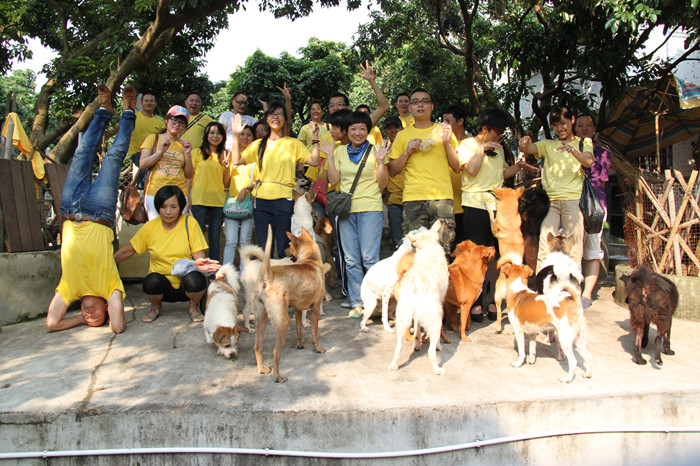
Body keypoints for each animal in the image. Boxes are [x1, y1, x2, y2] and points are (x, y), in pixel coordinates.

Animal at [255, 225, 326, 383]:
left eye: (289, 245)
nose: (283, 251)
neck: (310, 260)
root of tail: (268, 276)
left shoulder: (298, 310)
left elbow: (300, 330)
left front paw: (300, 345)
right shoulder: (315, 308)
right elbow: (315, 333)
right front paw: (317, 349)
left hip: (261, 318)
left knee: (257, 347)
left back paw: (262, 369)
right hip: (283, 322)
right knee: (276, 352)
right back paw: (277, 377)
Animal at [389, 220, 449, 375]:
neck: (429, 248)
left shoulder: (416, 315)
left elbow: (416, 332)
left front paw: (416, 345)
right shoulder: (441, 302)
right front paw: (439, 346)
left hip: (402, 318)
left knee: (398, 347)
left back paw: (394, 365)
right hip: (435, 319)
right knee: (431, 352)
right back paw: (437, 369)